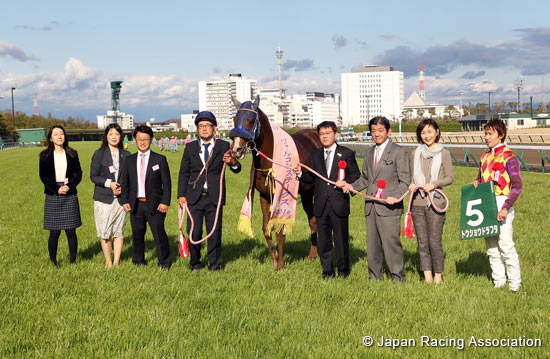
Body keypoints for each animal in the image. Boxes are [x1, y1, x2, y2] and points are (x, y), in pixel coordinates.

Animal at [229, 95, 324, 270]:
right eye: (234, 119)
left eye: (251, 121)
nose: (236, 150)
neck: (271, 160)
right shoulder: (264, 195)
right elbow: (266, 228)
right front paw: (274, 260)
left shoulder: (282, 195)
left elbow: (280, 230)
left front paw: (280, 264)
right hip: (306, 193)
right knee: (313, 220)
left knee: (314, 220)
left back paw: (313, 254)